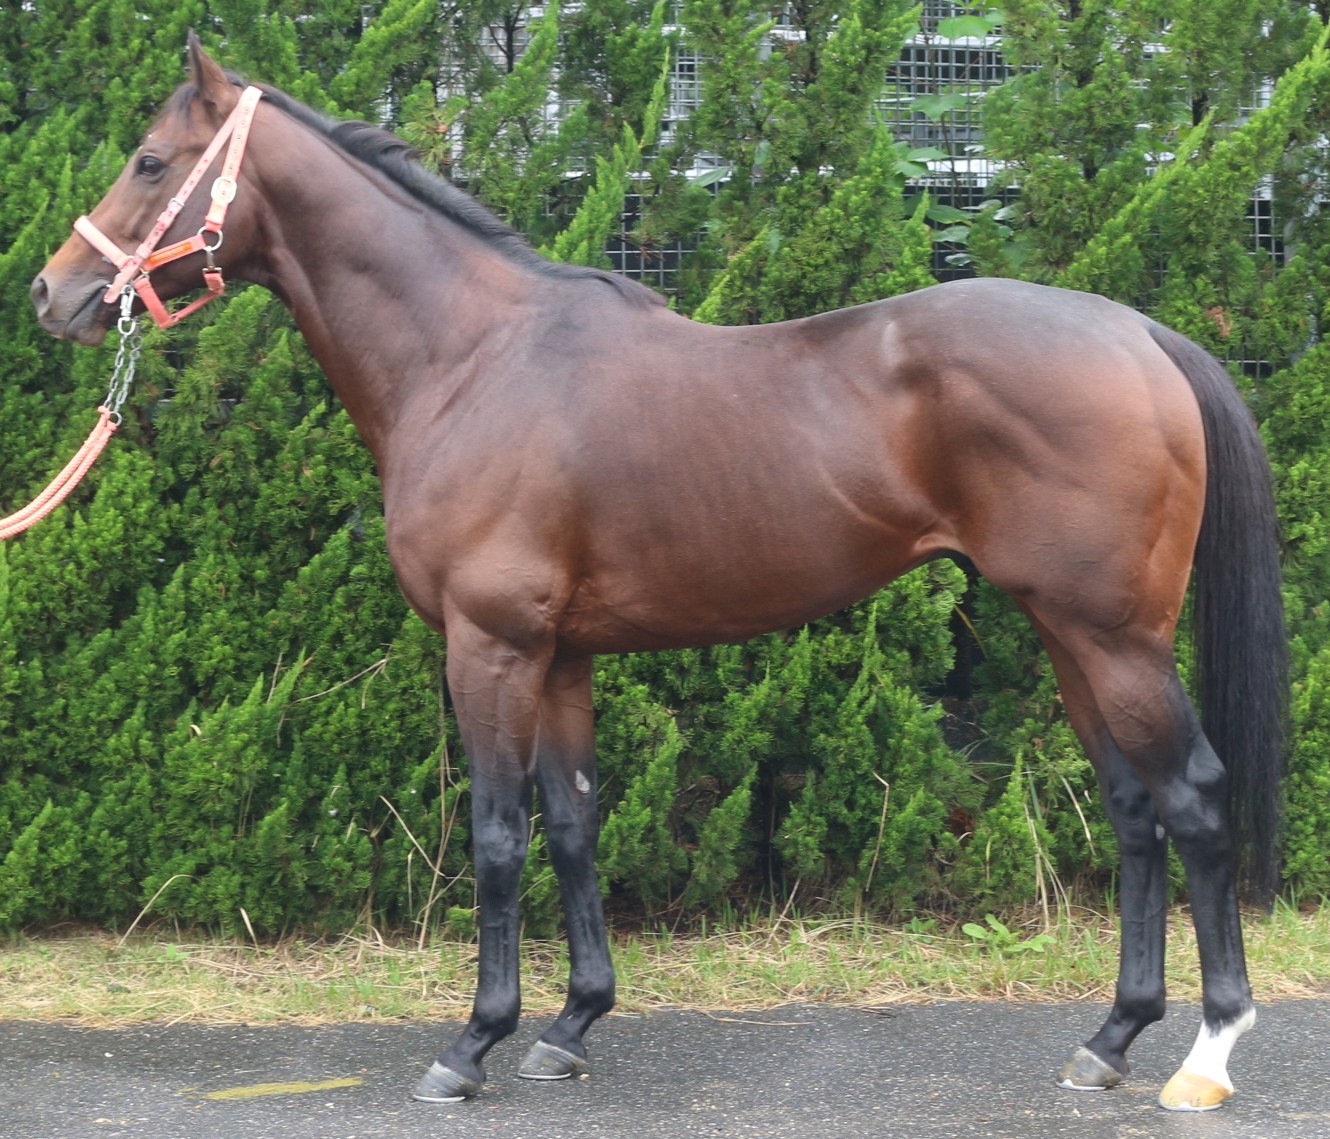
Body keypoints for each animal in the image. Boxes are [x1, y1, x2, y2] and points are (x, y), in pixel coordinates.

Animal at [30, 36, 1286, 1112]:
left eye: (151, 161)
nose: (51, 293)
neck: (472, 357)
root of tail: (1139, 335)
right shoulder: (561, 656)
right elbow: (573, 819)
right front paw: (570, 1026)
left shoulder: (489, 646)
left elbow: (499, 834)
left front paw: (471, 1044)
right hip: (1068, 632)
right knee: (1131, 809)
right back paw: (1108, 1038)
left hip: (1114, 637)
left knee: (1193, 797)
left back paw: (1205, 1055)